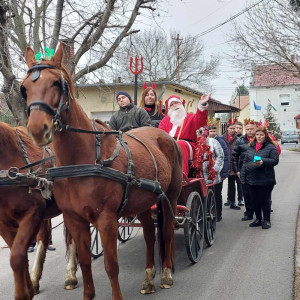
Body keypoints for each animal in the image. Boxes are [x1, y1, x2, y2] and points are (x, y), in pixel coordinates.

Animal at [0, 122, 77, 300]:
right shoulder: (4, 224)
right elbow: (19, 255)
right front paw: (29, 288)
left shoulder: (33, 213)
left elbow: (16, 257)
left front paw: (22, 293)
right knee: (44, 236)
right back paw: (35, 279)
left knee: (72, 237)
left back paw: (71, 275)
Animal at [22, 42, 183, 300]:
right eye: (25, 88)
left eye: (56, 83)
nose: (38, 129)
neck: (82, 160)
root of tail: (165, 136)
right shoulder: (75, 219)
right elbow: (85, 261)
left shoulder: (107, 219)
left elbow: (111, 265)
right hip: (142, 201)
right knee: (150, 233)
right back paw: (148, 278)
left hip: (171, 196)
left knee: (166, 230)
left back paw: (166, 274)